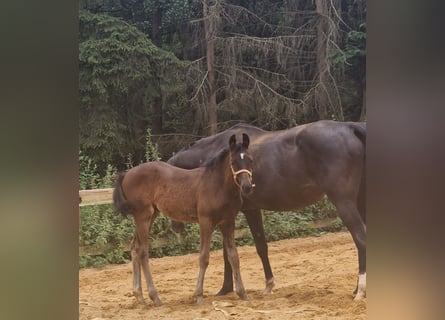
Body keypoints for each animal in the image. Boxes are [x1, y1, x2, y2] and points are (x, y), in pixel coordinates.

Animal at [112, 134, 253, 306]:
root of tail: (126, 174)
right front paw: (199, 296)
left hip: (151, 215)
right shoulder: (206, 221)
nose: (247, 186)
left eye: (250, 160)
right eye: (233, 162)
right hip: (143, 215)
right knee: (143, 251)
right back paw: (155, 297)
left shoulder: (227, 221)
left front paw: (243, 293)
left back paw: (139, 296)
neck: (218, 185)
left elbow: (234, 256)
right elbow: (204, 257)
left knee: (135, 247)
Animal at [168, 119, 366, 300]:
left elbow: (257, 246)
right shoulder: (231, 215)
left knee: (360, 239)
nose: (176, 227)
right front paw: (226, 288)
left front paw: (263, 285)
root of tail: (350, 127)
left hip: (344, 202)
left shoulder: (249, 211)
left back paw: (360, 291)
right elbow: (230, 252)